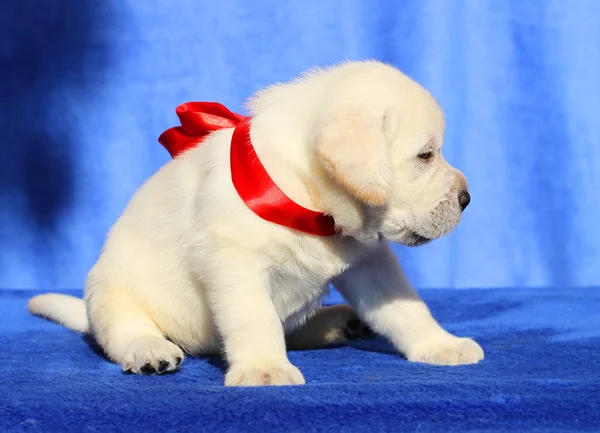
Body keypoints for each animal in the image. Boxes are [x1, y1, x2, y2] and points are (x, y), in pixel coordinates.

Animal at [28, 60, 482, 384]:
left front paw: (441, 345)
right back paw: (149, 349)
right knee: (124, 329)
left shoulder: (371, 263)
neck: (307, 201)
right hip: (112, 291)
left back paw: (341, 322)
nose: (466, 199)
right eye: (425, 155)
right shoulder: (234, 264)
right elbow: (255, 319)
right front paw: (265, 369)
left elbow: (407, 308)